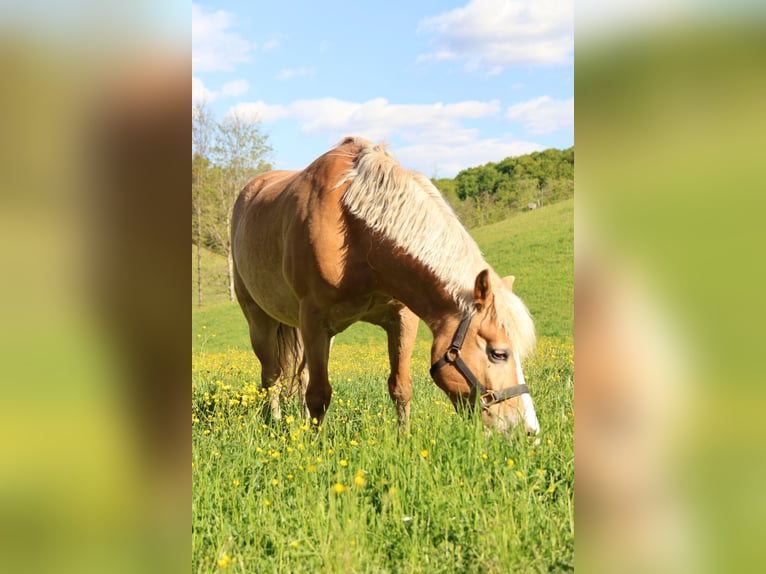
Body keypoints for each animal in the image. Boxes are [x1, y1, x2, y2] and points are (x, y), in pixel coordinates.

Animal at [231, 137, 539, 434]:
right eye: (499, 353)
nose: (528, 430)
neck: (355, 232)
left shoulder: (401, 319)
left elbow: (400, 387)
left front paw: (403, 438)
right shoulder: (314, 320)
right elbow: (319, 395)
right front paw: (318, 447)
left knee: (301, 374)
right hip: (260, 319)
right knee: (272, 376)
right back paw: (275, 422)